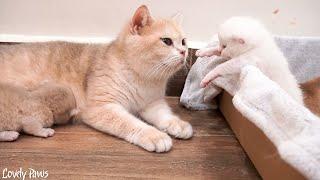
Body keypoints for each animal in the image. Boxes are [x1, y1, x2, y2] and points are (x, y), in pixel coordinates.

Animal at [0, 5, 192, 152]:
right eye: (166, 41)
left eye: (183, 41)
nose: (184, 52)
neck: (143, 78)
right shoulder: (102, 107)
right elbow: (132, 124)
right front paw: (154, 135)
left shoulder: (152, 104)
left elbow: (165, 115)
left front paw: (178, 125)